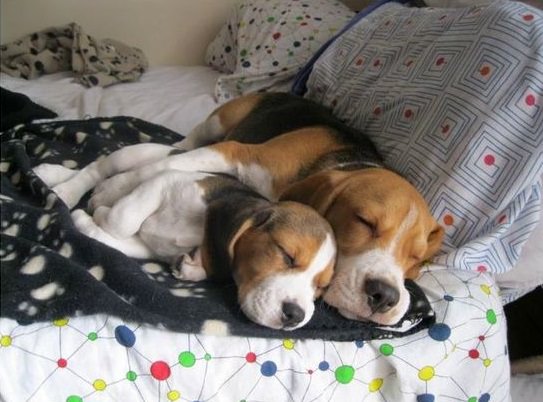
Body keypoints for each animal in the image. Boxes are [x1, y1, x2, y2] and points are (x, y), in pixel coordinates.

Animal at [34, 93, 444, 326]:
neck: (346, 163)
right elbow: (151, 174)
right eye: (364, 222)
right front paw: (102, 195)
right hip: (213, 130)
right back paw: (63, 181)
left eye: (417, 260)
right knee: (138, 156)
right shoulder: (234, 153)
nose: (386, 297)